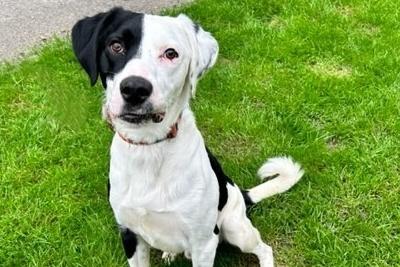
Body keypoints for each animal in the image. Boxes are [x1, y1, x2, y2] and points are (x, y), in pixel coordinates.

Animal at [72, 7, 304, 266]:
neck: (149, 147)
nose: (134, 89)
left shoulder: (204, 242)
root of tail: (241, 193)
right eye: (115, 46)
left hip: (236, 229)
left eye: (171, 53)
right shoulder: (129, 234)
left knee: (264, 248)